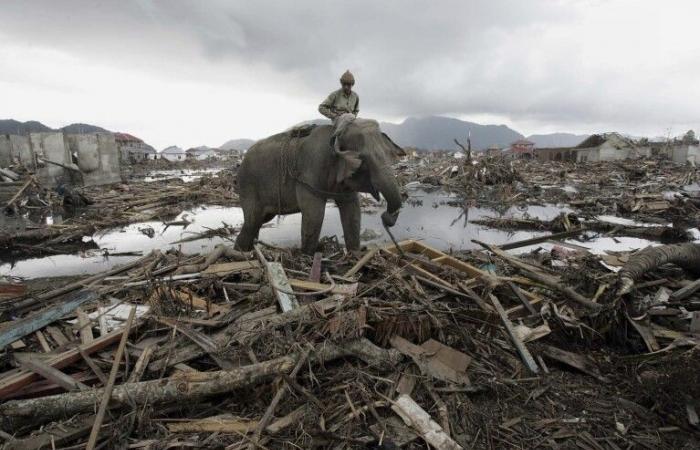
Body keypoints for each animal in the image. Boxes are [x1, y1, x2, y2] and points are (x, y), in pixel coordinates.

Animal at [234, 118, 404, 253]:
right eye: (363, 160)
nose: (386, 217)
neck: (335, 134)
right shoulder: (310, 170)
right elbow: (314, 214)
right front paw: (308, 256)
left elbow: (353, 211)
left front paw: (355, 255)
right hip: (248, 185)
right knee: (252, 221)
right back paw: (241, 253)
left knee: (258, 221)